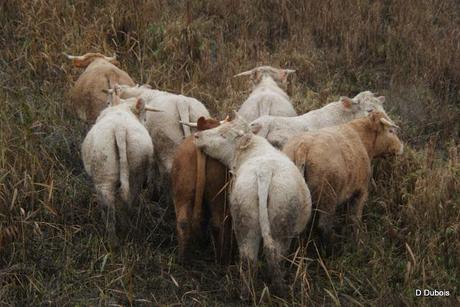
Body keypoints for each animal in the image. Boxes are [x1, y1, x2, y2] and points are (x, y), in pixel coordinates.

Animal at [171, 117, 234, 264]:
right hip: (217, 196)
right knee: (217, 224)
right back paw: (221, 259)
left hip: (182, 191)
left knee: (183, 223)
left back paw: (182, 260)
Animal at [282, 113, 404, 248]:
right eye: (390, 131)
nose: (401, 147)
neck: (363, 139)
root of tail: (302, 147)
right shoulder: (360, 192)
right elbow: (355, 219)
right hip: (327, 197)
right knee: (323, 226)